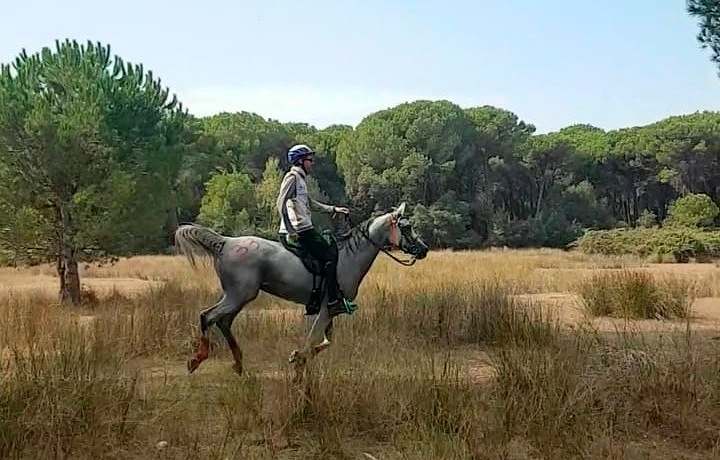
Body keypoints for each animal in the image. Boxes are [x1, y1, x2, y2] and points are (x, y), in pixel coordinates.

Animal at [173, 203, 428, 376]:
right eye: (406, 227)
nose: (424, 249)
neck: (349, 257)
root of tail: (225, 243)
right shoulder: (327, 309)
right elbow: (313, 340)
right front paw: (298, 359)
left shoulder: (330, 311)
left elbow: (323, 342)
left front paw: (298, 357)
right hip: (239, 295)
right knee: (208, 316)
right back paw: (198, 359)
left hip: (239, 296)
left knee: (223, 321)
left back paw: (237, 363)